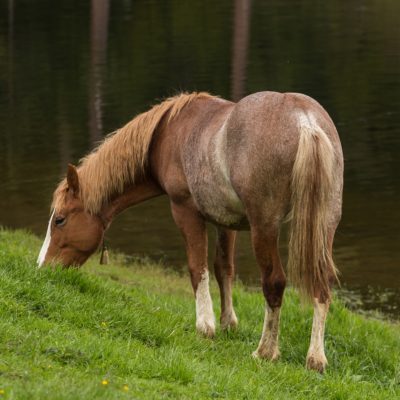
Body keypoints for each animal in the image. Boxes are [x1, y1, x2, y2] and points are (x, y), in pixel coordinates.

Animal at [38, 90, 344, 372]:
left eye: (60, 220)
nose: (42, 268)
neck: (165, 133)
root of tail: (305, 121)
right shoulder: (226, 222)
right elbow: (223, 268)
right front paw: (228, 323)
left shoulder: (185, 211)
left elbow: (197, 269)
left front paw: (205, 326)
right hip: (324, 224)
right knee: (322, 283)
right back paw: (316, 359)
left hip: (264, 227)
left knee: (274, 282)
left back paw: (265, 351)